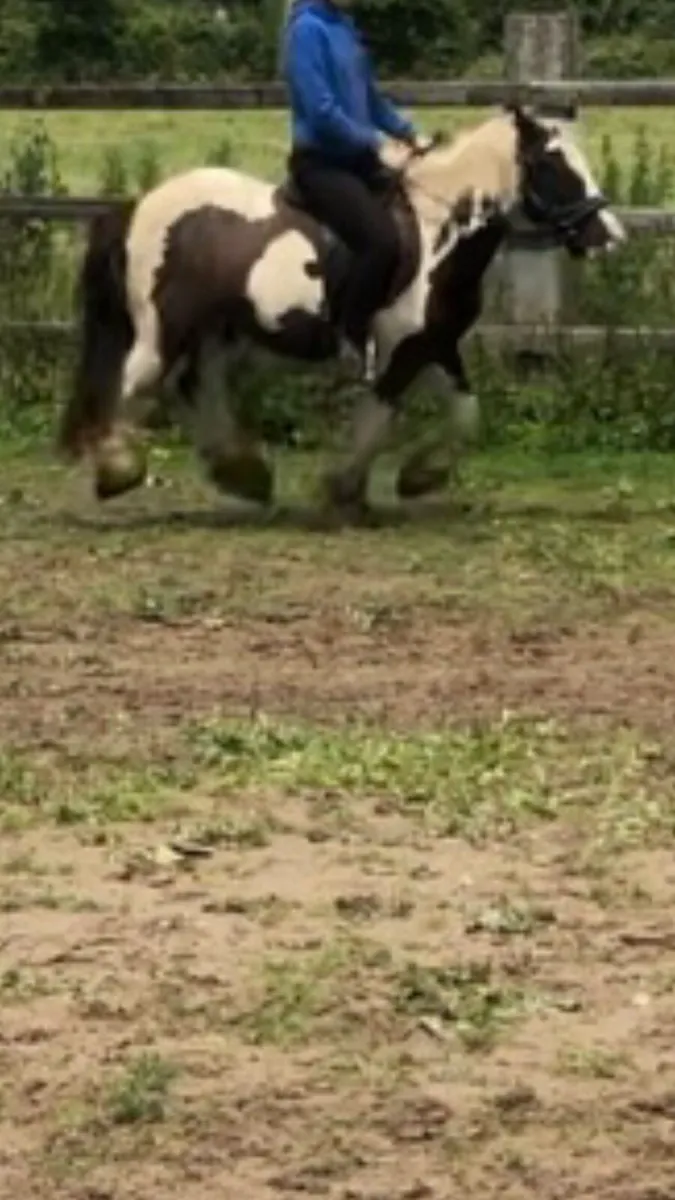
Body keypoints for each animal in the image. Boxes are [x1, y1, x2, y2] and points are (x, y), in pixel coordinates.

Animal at [57, 104, 626, 514]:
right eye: (552, 165)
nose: (609, 237)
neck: (437, 234)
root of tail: (139, 206)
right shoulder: (399, 353)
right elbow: (378, 418)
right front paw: (343, 487)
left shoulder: (433, 345)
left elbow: (465, 415)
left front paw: (418, 477)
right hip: (166, 330)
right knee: (132, 383)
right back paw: (118, 469)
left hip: (215, 332)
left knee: (194, 387)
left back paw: (242, 474)